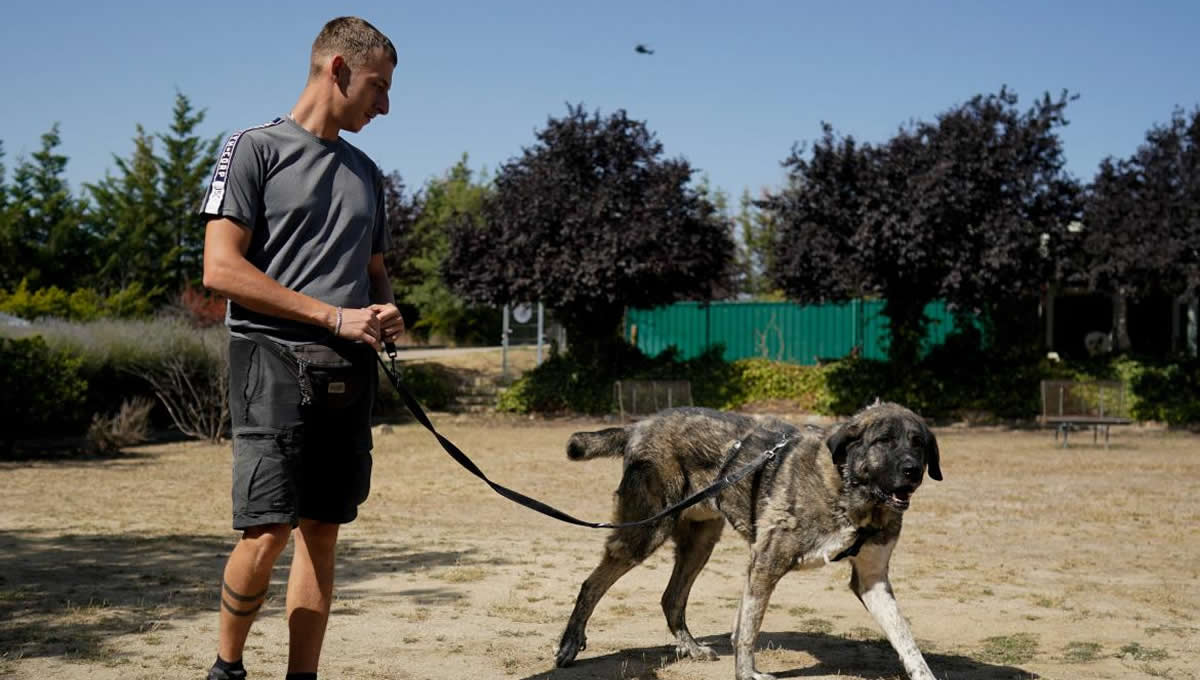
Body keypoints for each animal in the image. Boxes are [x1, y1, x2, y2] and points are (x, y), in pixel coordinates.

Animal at [556, 405, 940, 680]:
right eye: (884, 440)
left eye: (917, 443)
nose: (912, 471)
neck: (850, 491)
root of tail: (640, 425)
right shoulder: (766, 563)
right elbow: (748, 630)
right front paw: (746, 673)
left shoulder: (872, 580)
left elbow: (905, 637)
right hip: (646, 531)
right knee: (592, 583)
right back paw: (570, 643)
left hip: (700, 541)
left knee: (671, 598)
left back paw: (691, 648)